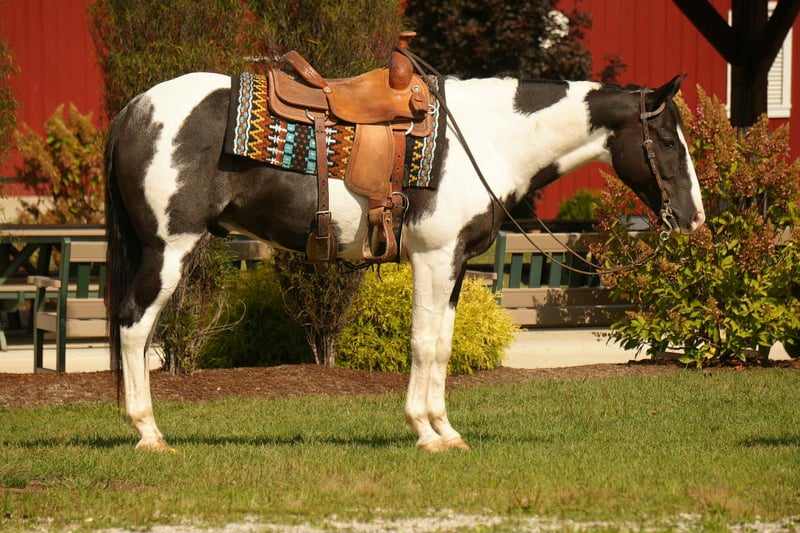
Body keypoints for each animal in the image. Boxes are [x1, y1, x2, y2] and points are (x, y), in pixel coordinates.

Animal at [105, 68, 705, 452]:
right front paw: (425, 432)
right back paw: (150, 434)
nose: (694, 218)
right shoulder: (434, 259)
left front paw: (447, 431)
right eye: (667, 141)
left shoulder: (455, 265)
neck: (488, 139)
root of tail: (137, 109)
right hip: (169, 248)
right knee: (135, 326)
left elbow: (442, 344)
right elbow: (422, 343)